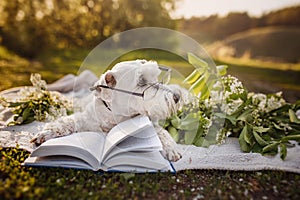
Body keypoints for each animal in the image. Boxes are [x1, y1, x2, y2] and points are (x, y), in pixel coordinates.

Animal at [31, 59, 184, 161]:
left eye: (156, 78)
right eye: (141, 82)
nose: (177, 97)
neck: (116, 116)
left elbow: (162, 132)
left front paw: (171, 148)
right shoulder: (85, 120)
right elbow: (67, 122)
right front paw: (46, 133)